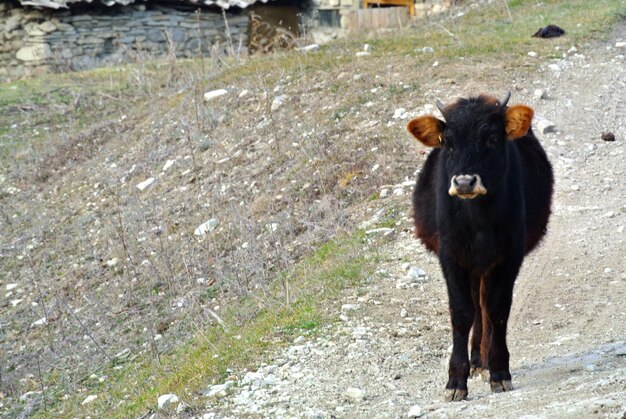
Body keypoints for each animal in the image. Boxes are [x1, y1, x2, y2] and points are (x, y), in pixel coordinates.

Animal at [408, 93, 552, 402]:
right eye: (448, 142)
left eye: (492, 139)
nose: (464, 182)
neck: (478, 221)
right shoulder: (451, 256)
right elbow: (462, 312)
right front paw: (455, 381)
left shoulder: (509, 255)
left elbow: (497, 310)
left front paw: (499, 371)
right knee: (476, 303)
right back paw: (476, 361)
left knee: (484, 305)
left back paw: (483, 361)